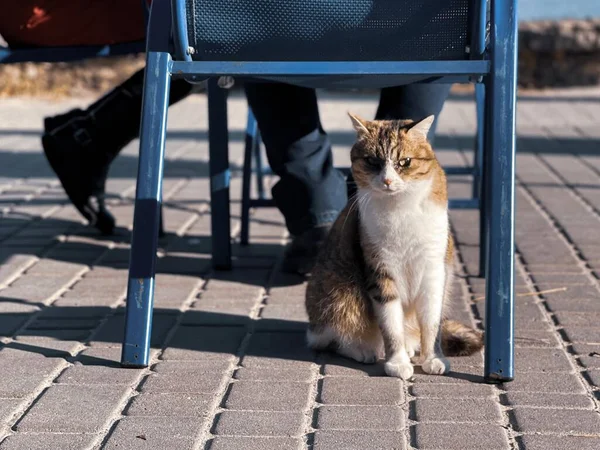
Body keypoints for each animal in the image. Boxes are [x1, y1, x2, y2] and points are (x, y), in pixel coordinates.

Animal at [304, 113, 482, 380]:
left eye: (404, 162)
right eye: (372, 161)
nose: (387, 180)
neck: (401, 206)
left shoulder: (434, 269)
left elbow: (432, 323)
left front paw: (432, 358)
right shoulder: (381, 270)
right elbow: (390, 324)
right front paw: (397, 362)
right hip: (337, 292)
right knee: (332, 335)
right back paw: (361, 349)